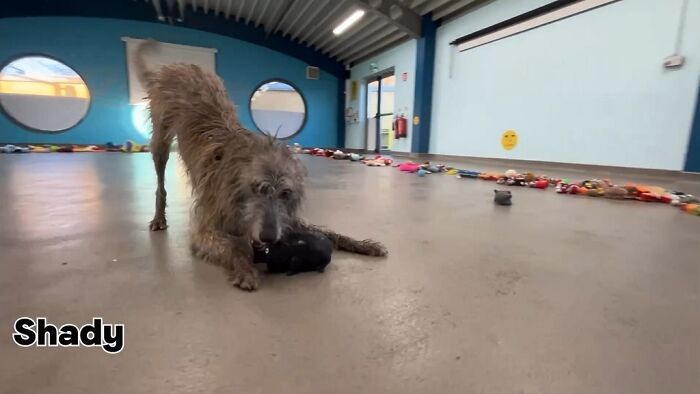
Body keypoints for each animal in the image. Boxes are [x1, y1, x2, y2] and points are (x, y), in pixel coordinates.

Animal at [137, 41, 388, 290]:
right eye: (257, 188)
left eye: (285, 193)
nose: (268, 237)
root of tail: (175, 65)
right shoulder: (207, 227)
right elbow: (230, 247)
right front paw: (244, 268)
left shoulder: (286, 218)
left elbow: (328, 231)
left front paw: (362, 244)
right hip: (160, 141)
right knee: (160, 183)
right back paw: (159, 217)